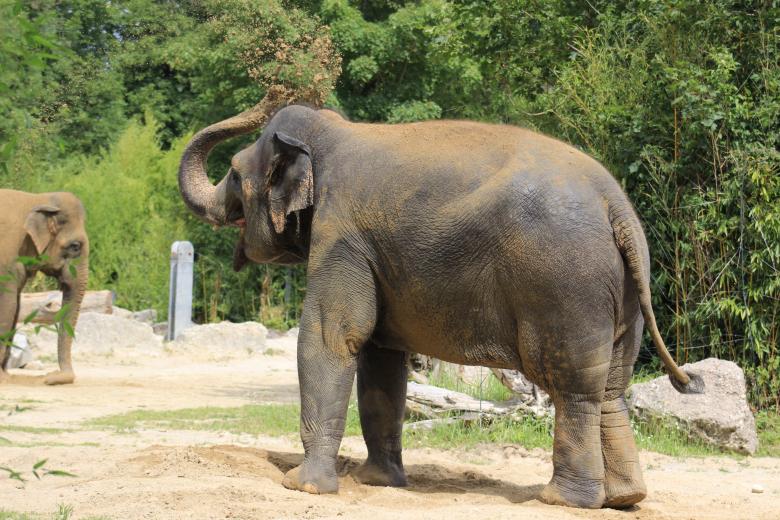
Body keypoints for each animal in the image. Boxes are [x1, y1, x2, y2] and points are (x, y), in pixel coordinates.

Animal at [0, 189, 89, 385]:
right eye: (75, 247)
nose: (49, 377)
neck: (38, 198)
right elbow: (8, 306)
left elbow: (16, 306)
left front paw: (6, 377)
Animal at [178, 100, 702, 509]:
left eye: (234, 173)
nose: (264, 94)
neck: (333, 134)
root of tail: (616, 205)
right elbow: (380, 360)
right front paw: (378, 483)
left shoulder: (341, 234)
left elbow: (331, 339)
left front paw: (303, 487)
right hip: (625, 291)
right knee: (612, 386)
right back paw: (625, 499)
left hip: (567, 287)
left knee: (574, 387)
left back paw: (563, 500)